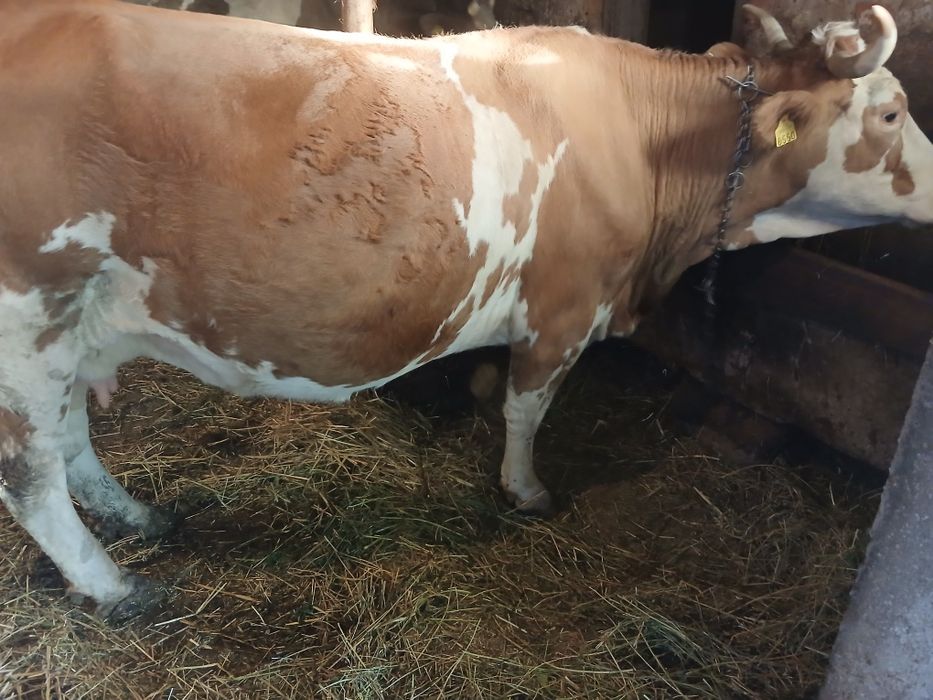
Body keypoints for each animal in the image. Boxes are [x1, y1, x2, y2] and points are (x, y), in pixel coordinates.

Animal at [0, 0, 931, 620]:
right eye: (891, 111)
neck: (649, 144)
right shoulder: (563, 306)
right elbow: (526, 408)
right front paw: (526, 491)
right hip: (29, 322)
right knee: (33, 476)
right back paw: (116, 585)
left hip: (76, 324)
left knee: (75, 441)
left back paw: (140, 518)